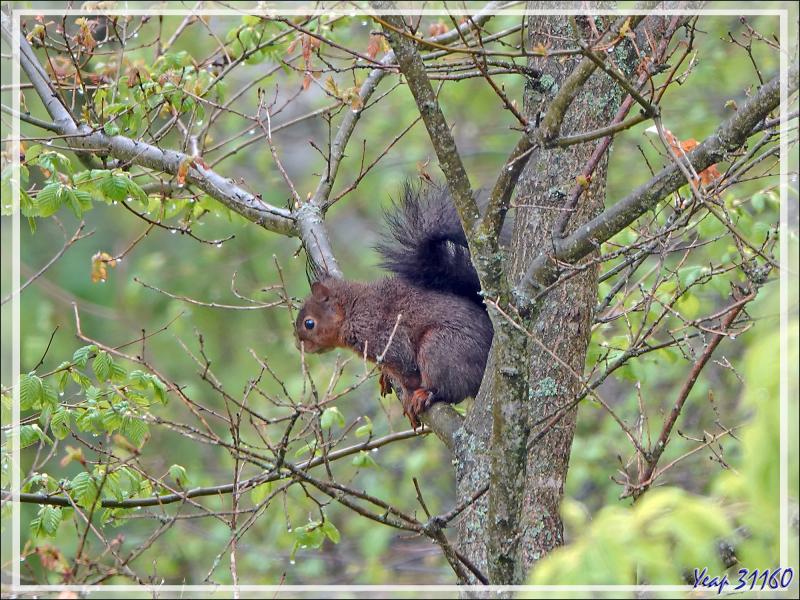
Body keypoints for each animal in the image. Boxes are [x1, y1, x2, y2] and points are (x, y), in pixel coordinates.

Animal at [295, 183, 493, 428]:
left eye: (309, 323)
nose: (298, 345)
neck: (352, 310)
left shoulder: (385, 336)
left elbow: (406, 368)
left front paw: (408, 390)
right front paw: (385, 378)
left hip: (440, 349)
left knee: (451, 388)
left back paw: (427, 394)